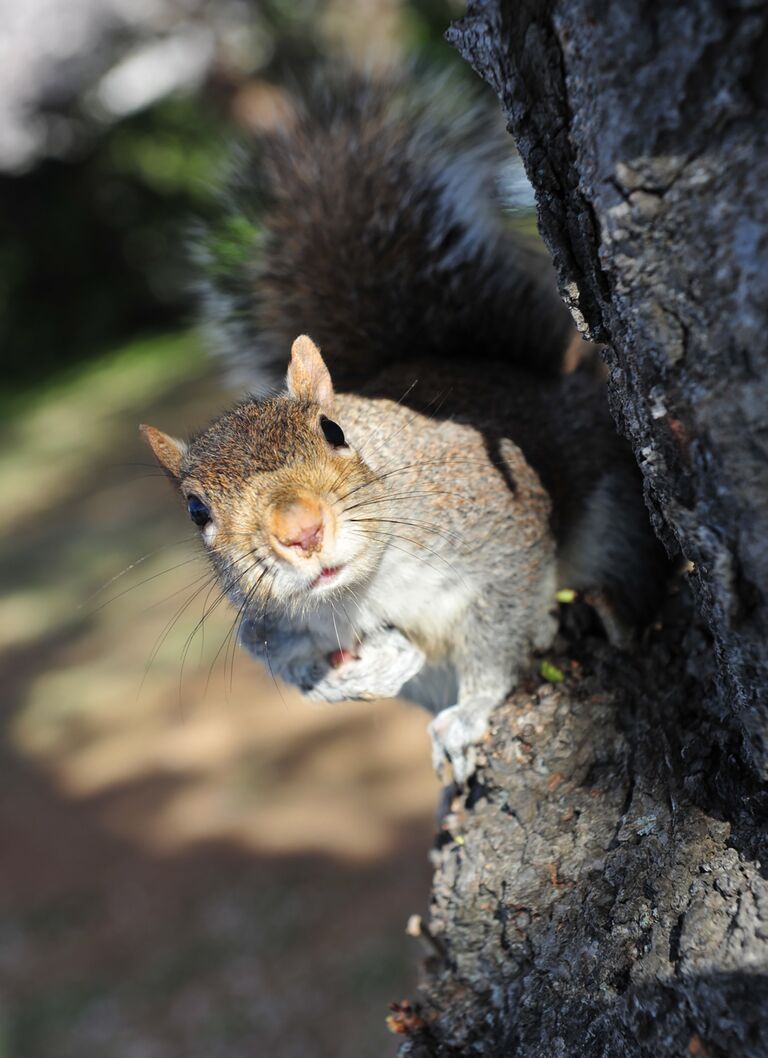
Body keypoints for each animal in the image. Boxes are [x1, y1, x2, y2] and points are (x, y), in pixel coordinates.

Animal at [141, 74, 672, 782]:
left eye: (334, 431)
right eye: (196, 511)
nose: (301, 532)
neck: (367, 584)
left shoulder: (501, 531)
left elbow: (499, 632)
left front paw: (471, 713)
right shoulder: (267, 620)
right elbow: (272, 653)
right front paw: (337, 683)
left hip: (611, 519)